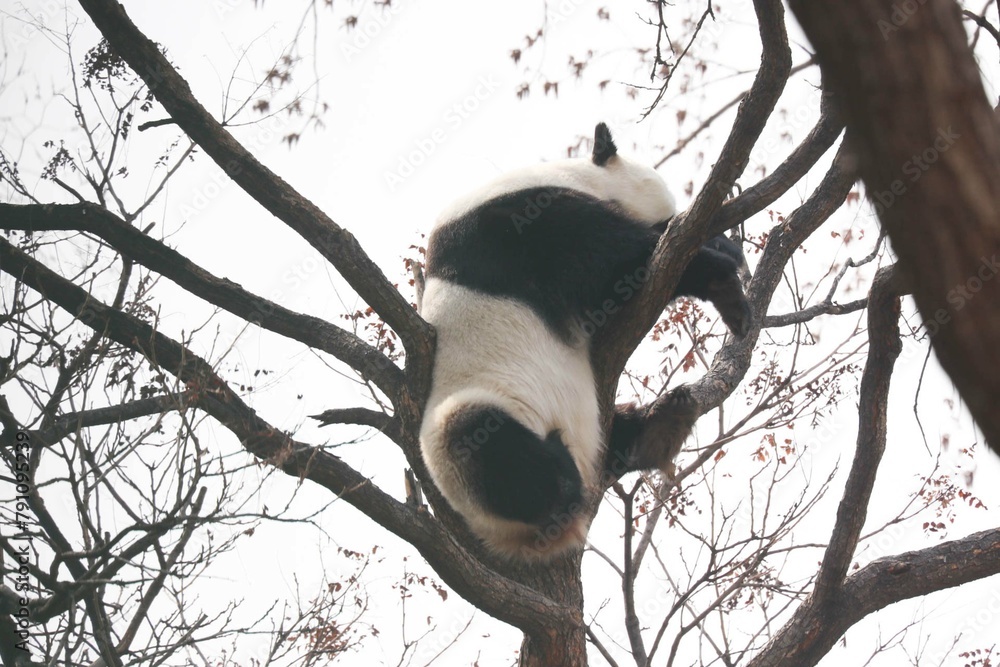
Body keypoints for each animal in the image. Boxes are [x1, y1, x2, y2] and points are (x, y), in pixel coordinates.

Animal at [418, 123, 751, 560]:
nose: (673, 218)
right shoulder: (514, 225)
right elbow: (615, 263)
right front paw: (719, 270)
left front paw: (723, 251)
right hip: (466, 437)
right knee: (481, 444)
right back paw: (564, 481)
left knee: (619, 434)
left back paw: (663, 424)